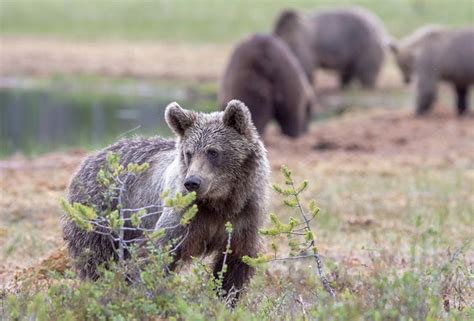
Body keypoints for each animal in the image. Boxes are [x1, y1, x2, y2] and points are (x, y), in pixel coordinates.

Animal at [63, 100, 270, 300]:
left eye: (213, 151)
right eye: (189, 152)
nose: (192, 182)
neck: (220, 202)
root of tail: (91, 157)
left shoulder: (244, 217)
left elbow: (235, 265)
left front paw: (226, 298)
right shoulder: (183, 216)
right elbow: (156, 253)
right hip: (101, 216)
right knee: (98, 260)